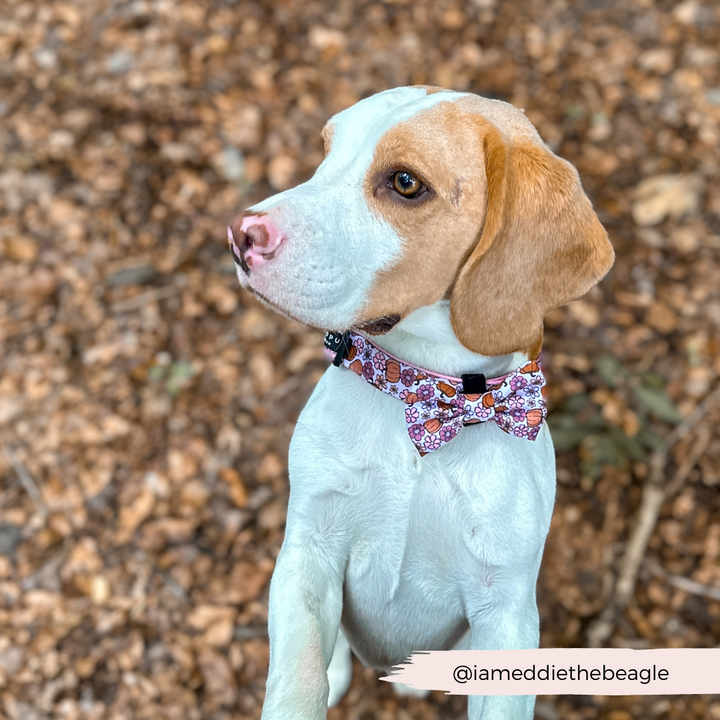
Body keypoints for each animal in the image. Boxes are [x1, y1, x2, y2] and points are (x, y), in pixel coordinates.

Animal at [229, 86, 612, 720]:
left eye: (405, 183)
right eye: (326, 152)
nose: (241, 232)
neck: (423, 402)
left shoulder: (506, 615)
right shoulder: (309, 554)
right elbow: (298, 679)